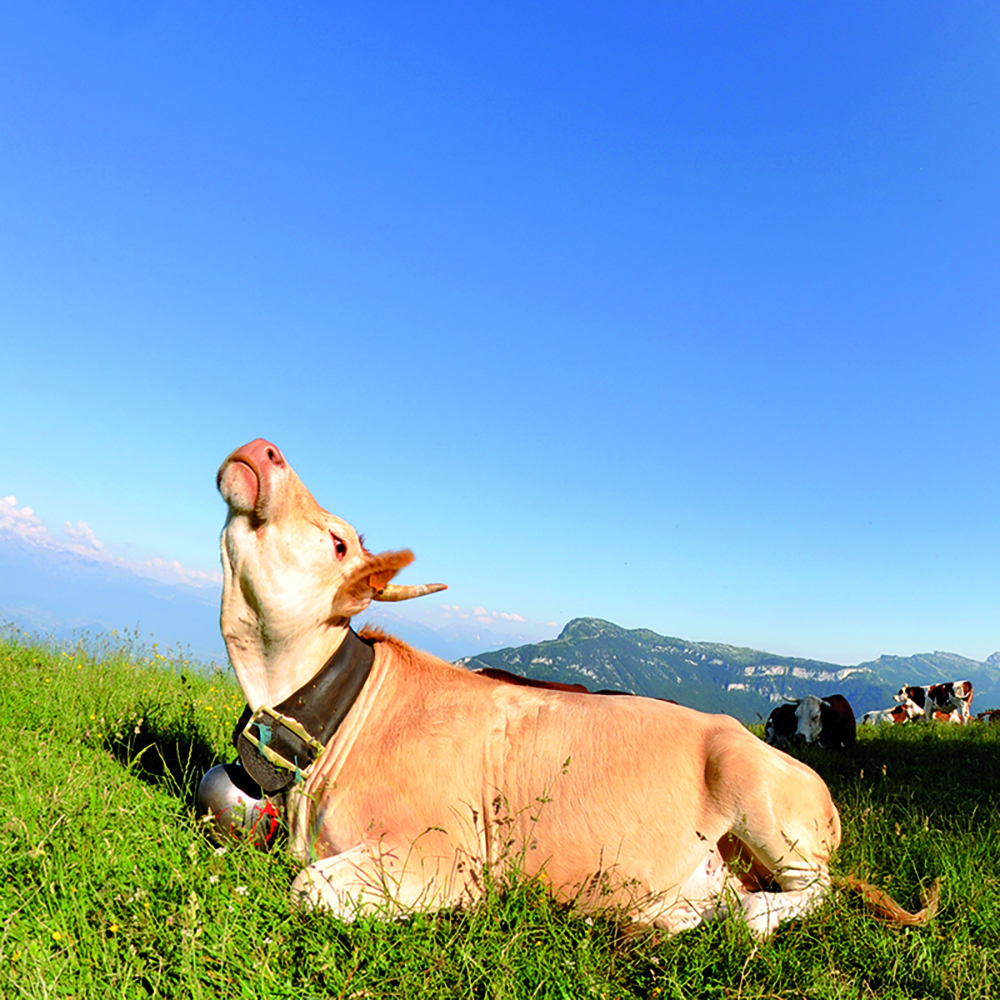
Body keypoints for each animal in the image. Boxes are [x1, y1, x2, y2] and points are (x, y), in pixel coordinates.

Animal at [215, 438, 937, 939]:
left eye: (338, 543)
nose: (265, 448)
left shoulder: (445, 857)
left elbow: (305, 888)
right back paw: (674, 914)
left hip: (764, 803)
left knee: (818, 890)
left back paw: (752, 915)